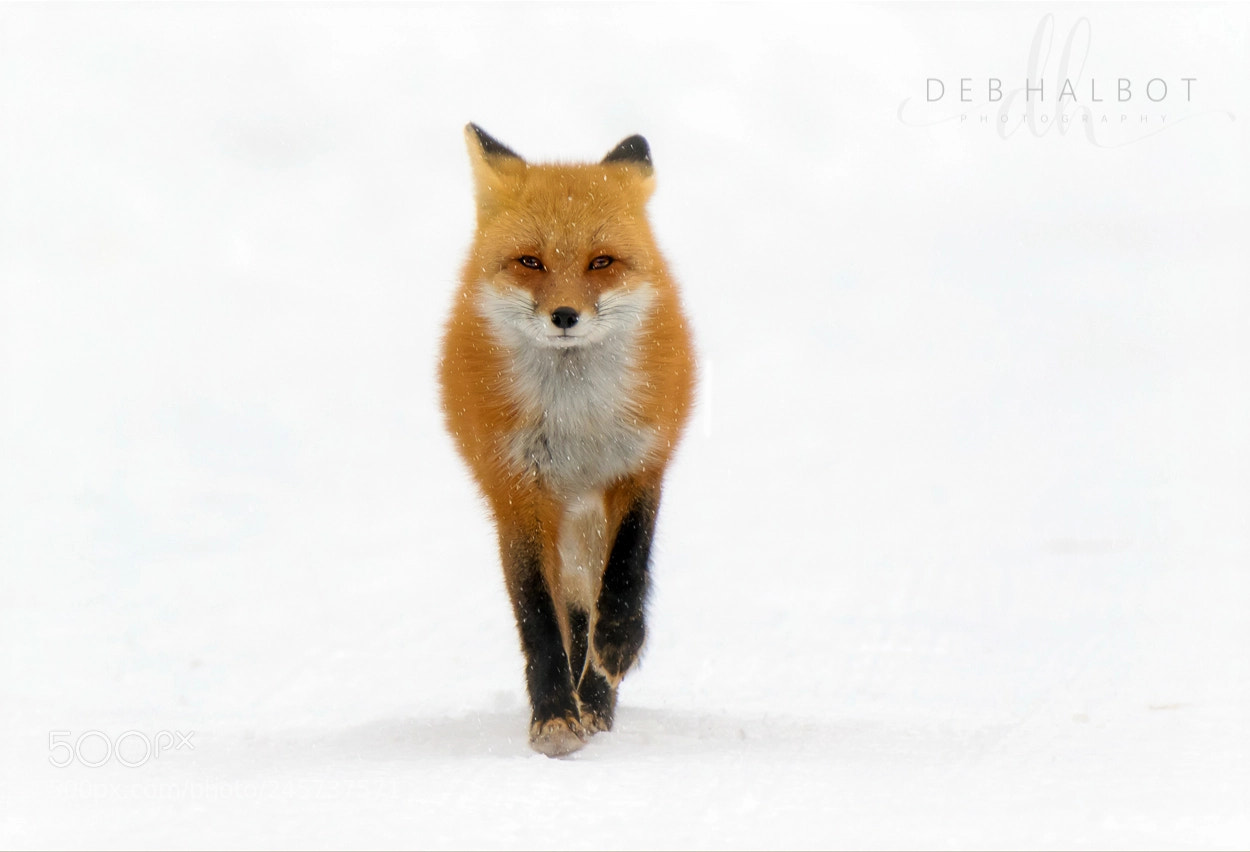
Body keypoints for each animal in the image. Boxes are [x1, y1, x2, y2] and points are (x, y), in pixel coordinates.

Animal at [439, 124, 696, 757]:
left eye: (601, 262)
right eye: (530, 261)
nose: (564, 316)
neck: (576, 421)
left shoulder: (638, 465)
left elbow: (627, 567)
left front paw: (619, 645)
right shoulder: (516, 491)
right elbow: (537, 614)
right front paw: (554, 714)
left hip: (587, 521)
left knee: (592, 594)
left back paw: (599, 698)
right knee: (571, 607)